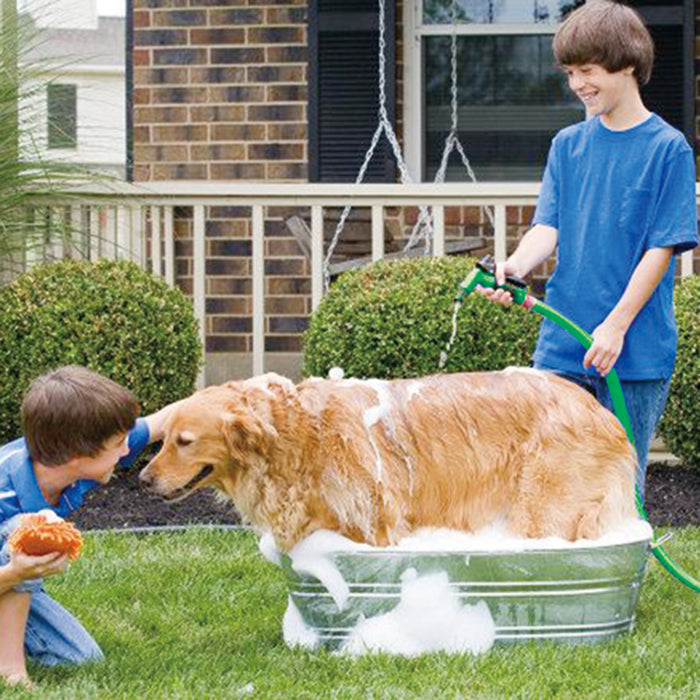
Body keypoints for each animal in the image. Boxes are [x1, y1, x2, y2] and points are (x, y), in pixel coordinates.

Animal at [139, 372, 636, 552]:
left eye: (184, 441)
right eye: (162, 440)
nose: (142, 479)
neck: (300, 435)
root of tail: (601, 411)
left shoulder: (377, 525)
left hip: (545, 507)